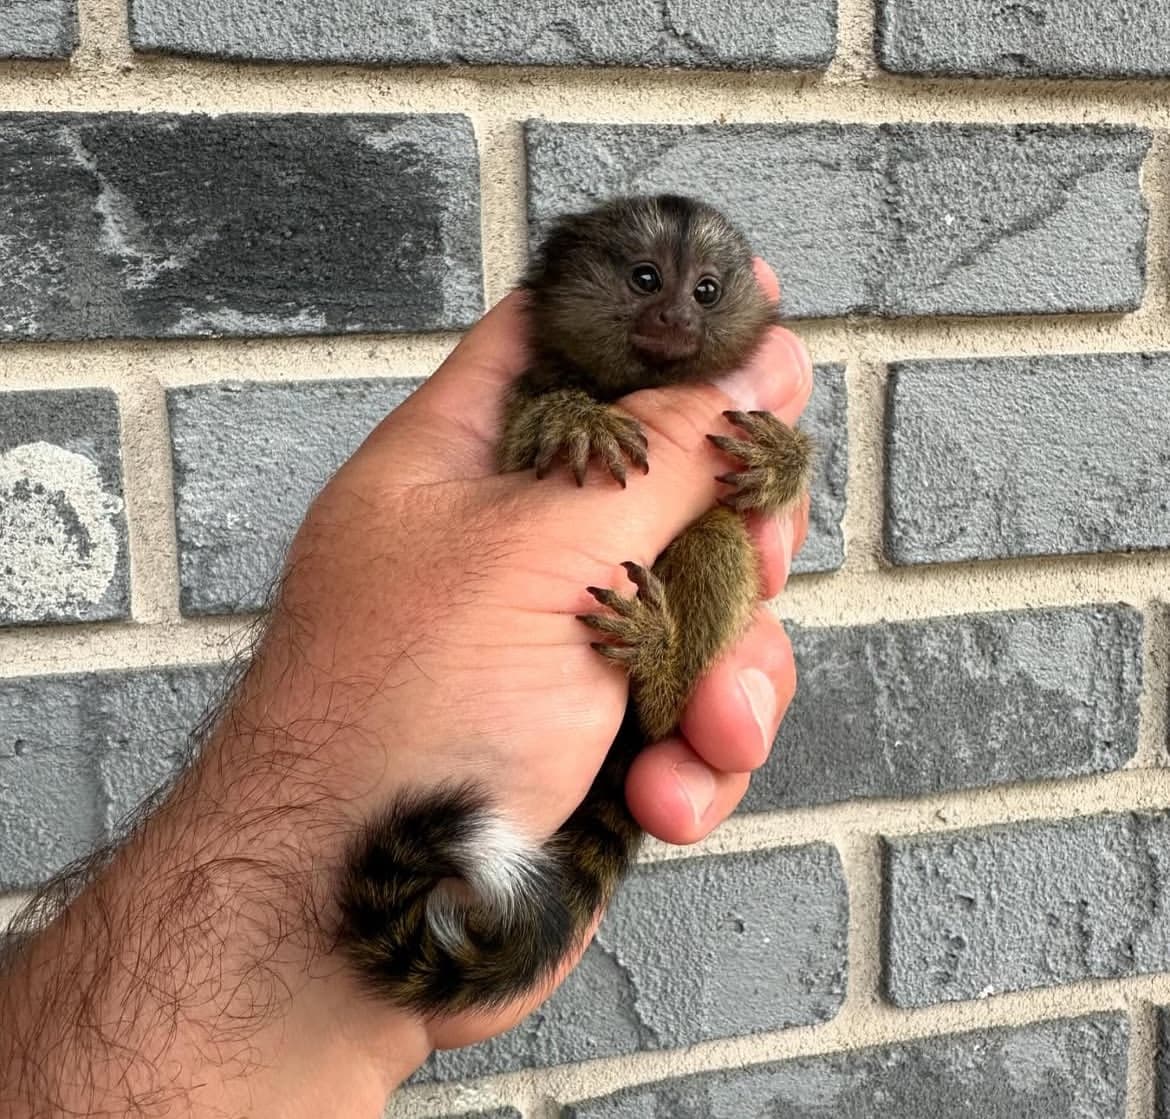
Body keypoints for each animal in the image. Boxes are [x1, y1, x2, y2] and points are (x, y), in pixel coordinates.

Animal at [336, 194, 812, 1014]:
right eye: (645, 278)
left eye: (707, 291)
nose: (675, 317)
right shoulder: (524, 394)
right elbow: (527, 443)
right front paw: (575, 418)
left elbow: (761, 511)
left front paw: (784, 459)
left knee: (718, 540)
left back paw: (658, 672)